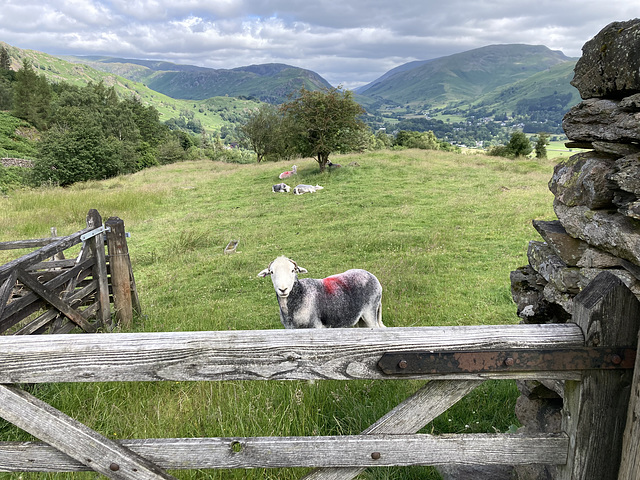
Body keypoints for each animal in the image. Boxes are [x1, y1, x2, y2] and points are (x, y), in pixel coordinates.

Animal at [256, 255, 384, 330]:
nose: (283, 289)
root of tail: (371, 275)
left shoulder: (317, 326)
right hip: (360, 319)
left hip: (370, 311)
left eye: (293, 270)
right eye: (271, 272)